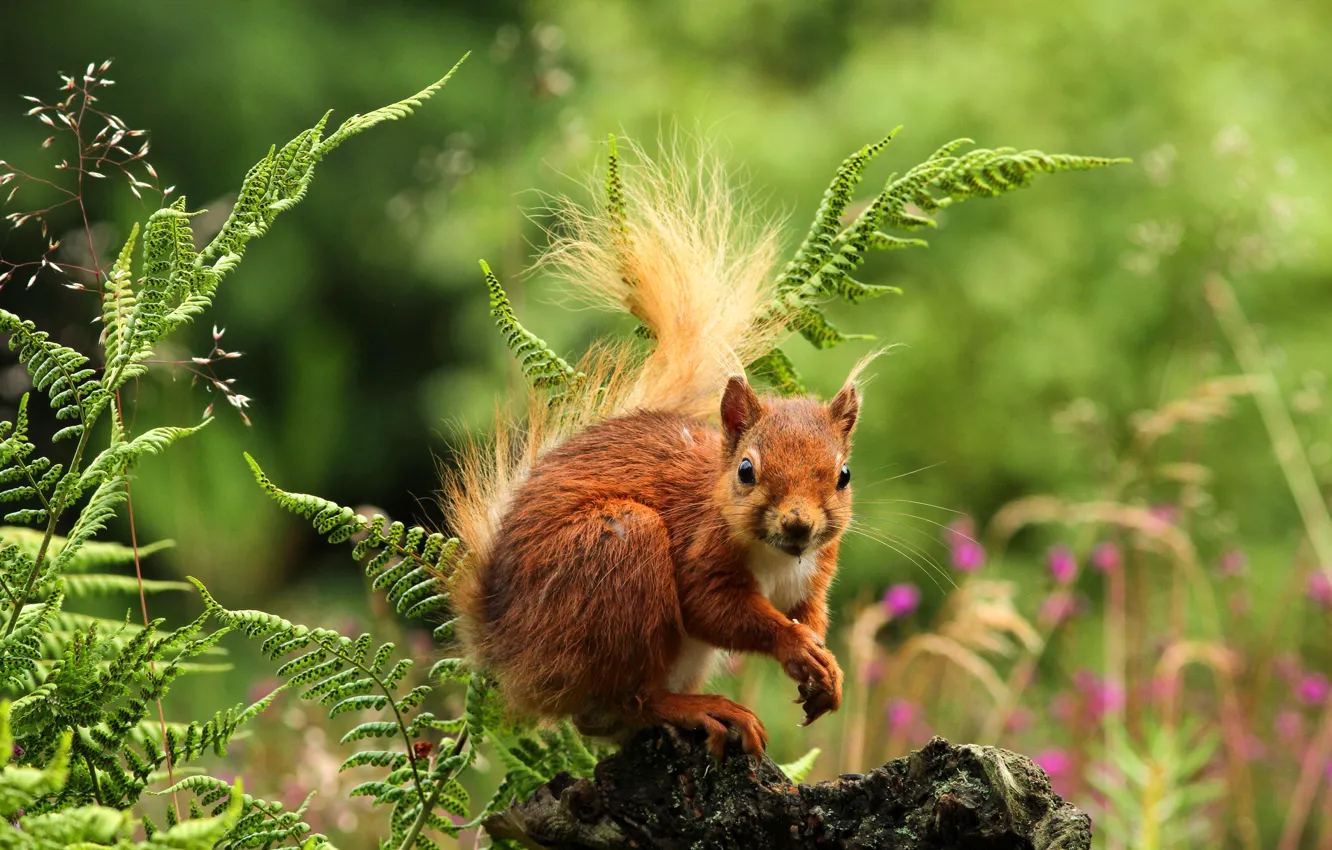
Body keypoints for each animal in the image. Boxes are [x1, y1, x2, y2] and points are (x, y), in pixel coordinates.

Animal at [442, 141, 868, 756]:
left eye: (843, 476)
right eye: (746, 470)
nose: (798, 524)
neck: (776, 557)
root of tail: (506, 652)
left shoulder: (814, 572)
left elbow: (809, 614)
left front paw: (824, 666)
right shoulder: (699, 549)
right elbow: (717, 611)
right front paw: (793, 646)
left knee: (604, 719)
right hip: (618, 557)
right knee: (629, 699)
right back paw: (704, 709)